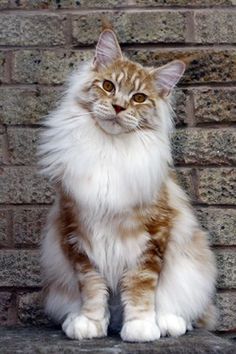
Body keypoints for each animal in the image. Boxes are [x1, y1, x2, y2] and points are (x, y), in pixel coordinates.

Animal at [39, 29, 218, 342]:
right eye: (108, 86)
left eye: (139, 98)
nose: (118, 106)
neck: (110, 149)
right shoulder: (77, 234)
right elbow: (91, 288)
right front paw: (90, 324)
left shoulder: (151, 237)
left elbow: (140, 288)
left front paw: (141, 327)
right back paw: (75, 319)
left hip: (189, 264)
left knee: (180, 306)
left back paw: (168, 322)